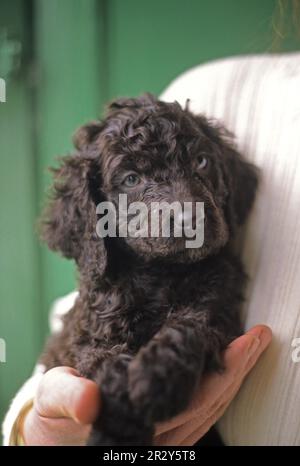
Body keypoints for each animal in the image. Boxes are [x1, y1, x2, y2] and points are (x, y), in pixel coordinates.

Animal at [39, 93, 258, 446]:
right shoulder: (83, 340)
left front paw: (157, 376)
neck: (159, 273)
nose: (189, 219)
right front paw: (119, 425)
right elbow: (104, 362)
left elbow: (188, 325)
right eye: (131, 179)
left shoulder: (218, 309)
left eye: (201, 162)